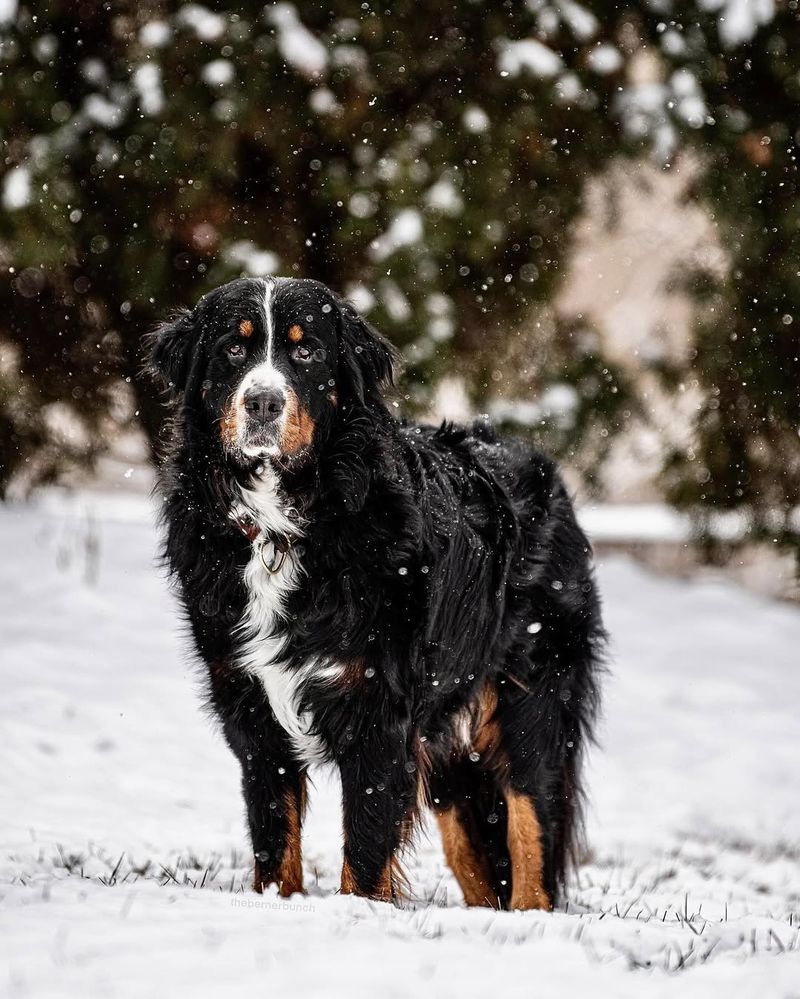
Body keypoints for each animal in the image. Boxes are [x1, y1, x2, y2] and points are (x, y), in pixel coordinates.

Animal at [150, 278, 604, 912]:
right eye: (233, 350)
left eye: (307, 351)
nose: (262, 403)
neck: (282, 528)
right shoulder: (251, 710)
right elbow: (274, 840)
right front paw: (276, 906)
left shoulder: (377, 713)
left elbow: (365, 851)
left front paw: (359, 914)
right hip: (450, 742)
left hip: (530, 700)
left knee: (530, 821)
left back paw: (530, 918)